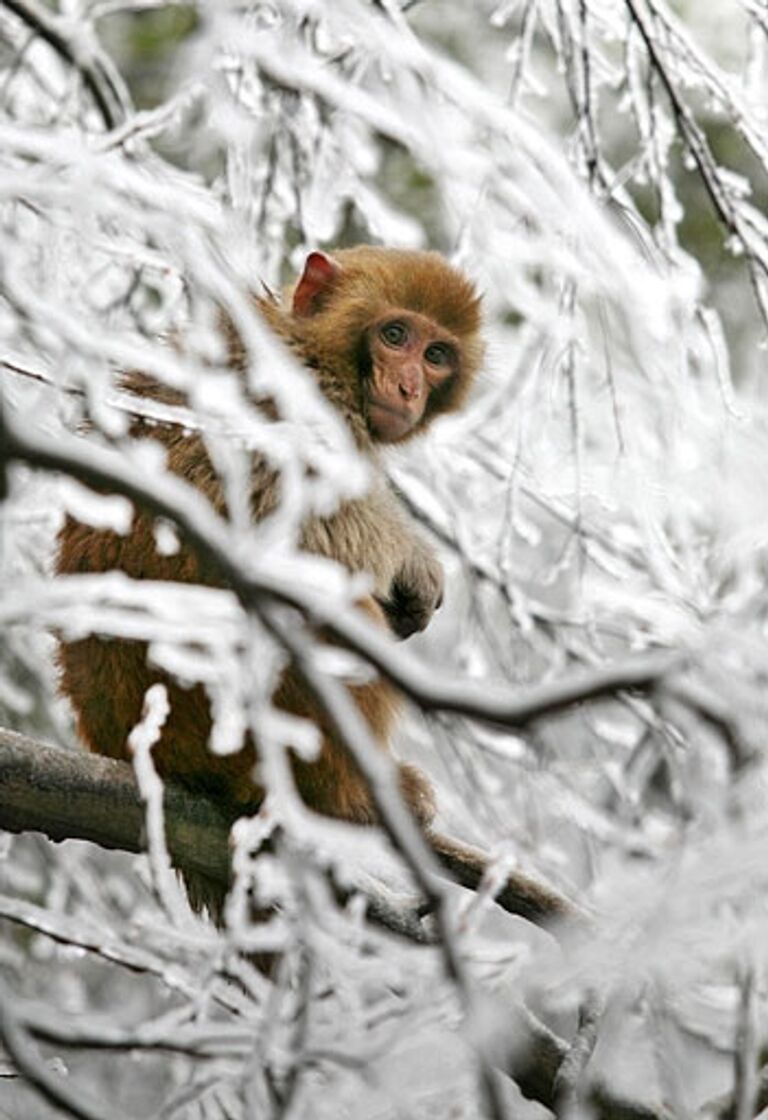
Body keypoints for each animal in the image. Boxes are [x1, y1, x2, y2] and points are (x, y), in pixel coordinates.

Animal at [54, 247, 483, 909]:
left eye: (436, 354)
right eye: (395, 336)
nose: (409, 386)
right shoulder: (309, 397)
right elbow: (309, 522)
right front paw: (415, 561)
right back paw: (348, 801)